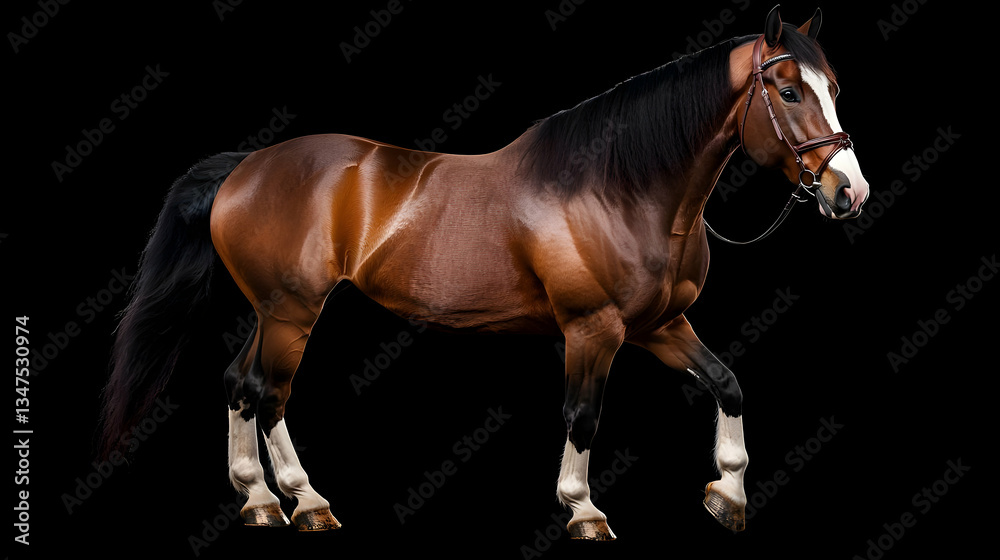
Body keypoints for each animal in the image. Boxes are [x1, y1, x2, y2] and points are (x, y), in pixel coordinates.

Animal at [100, 5, 868, 540]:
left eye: (833, 86)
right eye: (789, 92)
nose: (848, 192)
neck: (621, 188)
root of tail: (246, 166)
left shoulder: (660, 325)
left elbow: (728, 384)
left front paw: (728, 496)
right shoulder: (593, 330)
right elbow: (583, 416)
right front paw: (583, 511)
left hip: (272, 309)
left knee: (238, 383)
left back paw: (259, 499)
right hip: (291, 310)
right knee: (268, 392)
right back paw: (307, 500)